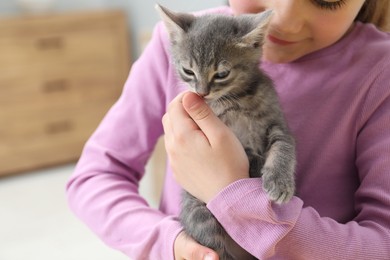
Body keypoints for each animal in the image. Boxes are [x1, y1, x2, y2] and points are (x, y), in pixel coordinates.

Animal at [157, 4, 294, 260]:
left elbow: (284, 146)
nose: (201, 92)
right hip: (200, 213)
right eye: (188, 71)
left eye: (221, 74)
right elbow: (247, 151)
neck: (238, 99)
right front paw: (256, 162)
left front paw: (279, 181)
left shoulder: (277, 122)